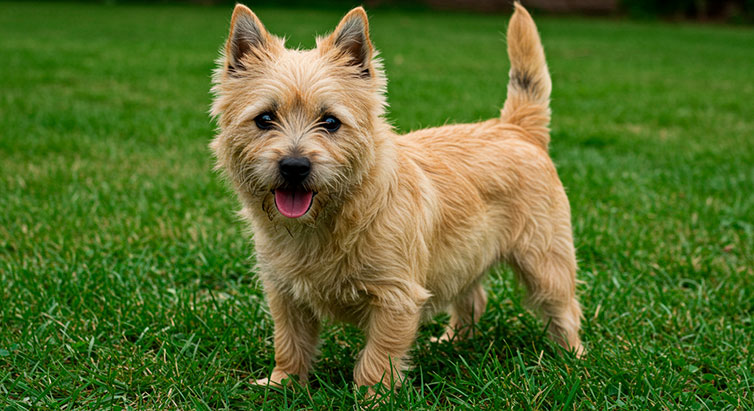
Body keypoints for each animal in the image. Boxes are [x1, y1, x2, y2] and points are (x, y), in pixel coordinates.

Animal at [209, 0, 584, 392]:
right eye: (265, 119)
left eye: (330, 122)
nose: (294, 166)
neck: (329, 221)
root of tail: (514, 127)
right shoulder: (285, 294)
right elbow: (289, 341)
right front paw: (283, 384)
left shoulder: (395, 296)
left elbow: (379, 354)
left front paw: (371, 395)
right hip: (466, 253)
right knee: (473, 297)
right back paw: (453, 341)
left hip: (544, 260)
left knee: (565, 307)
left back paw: (571, 358)